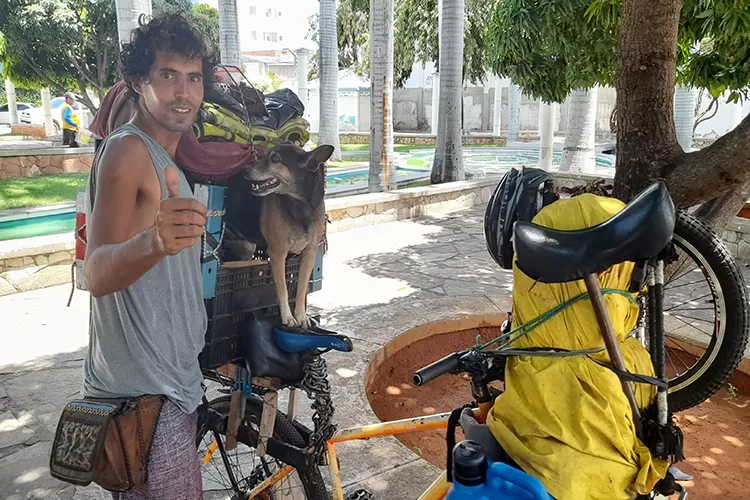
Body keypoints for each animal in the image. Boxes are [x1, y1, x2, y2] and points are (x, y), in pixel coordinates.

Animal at [244, 144, 334, 328]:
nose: (245, 170)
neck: (300, 206)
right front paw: (287, 317)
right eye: (265, 155)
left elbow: (300, 290)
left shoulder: (309, 254)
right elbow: (284, 290)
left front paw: (301, 316)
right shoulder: (278, 254)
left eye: (275, 159)